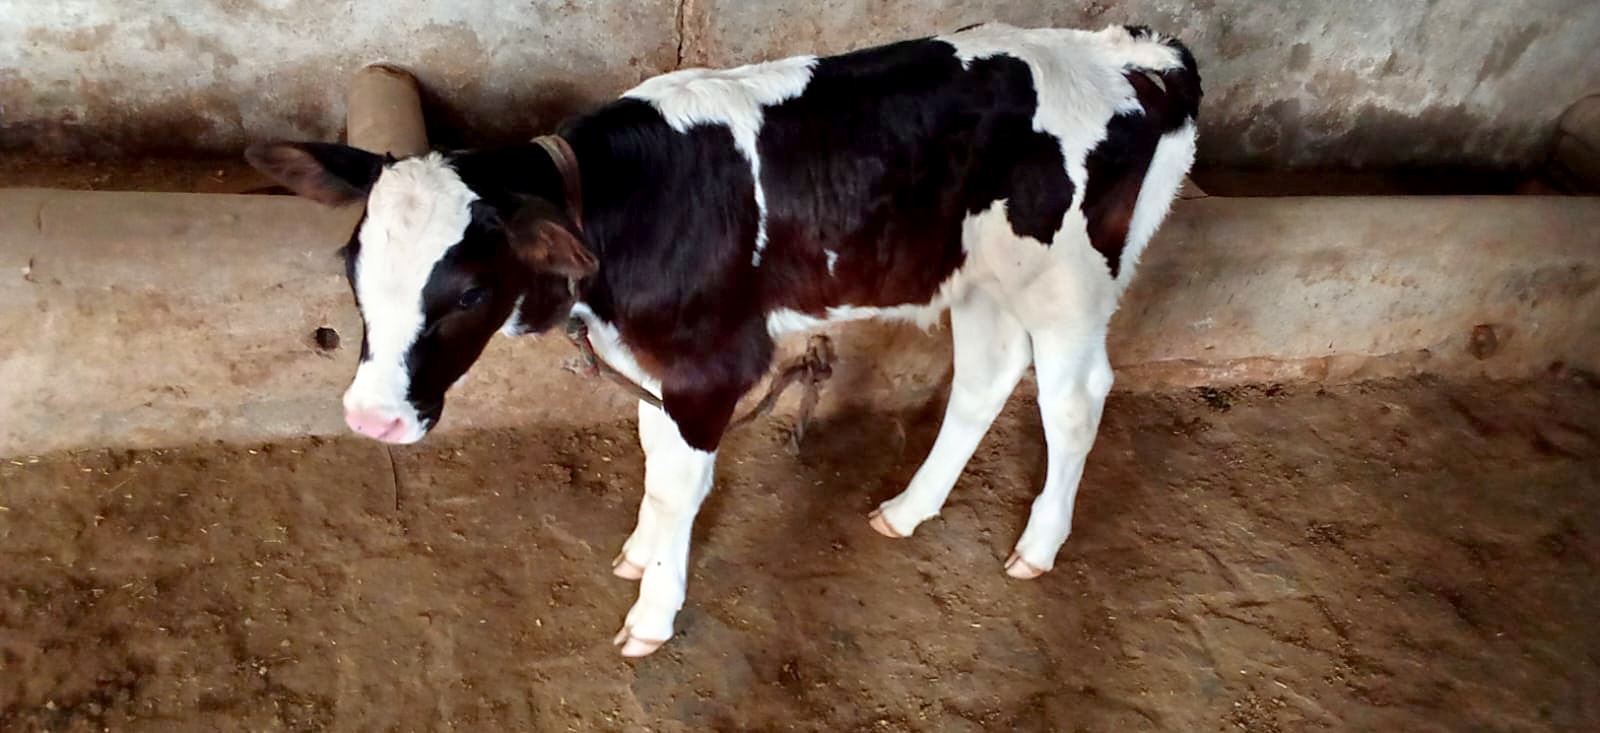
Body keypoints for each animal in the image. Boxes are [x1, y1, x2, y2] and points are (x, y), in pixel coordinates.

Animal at [246, 23, 1201, 657]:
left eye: (470, 290)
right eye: (353, 267)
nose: (370, 419)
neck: (620, 210)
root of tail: (1133, 55)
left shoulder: (710, 366)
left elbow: (681, 485)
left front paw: (652, 613)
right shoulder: (649, 357)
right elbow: (652, 455)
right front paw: (639, 553)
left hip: (1070, 281)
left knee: (1073, 401)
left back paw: (1038, 546)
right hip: (981, 274)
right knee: (986, 376)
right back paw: (906, 509)